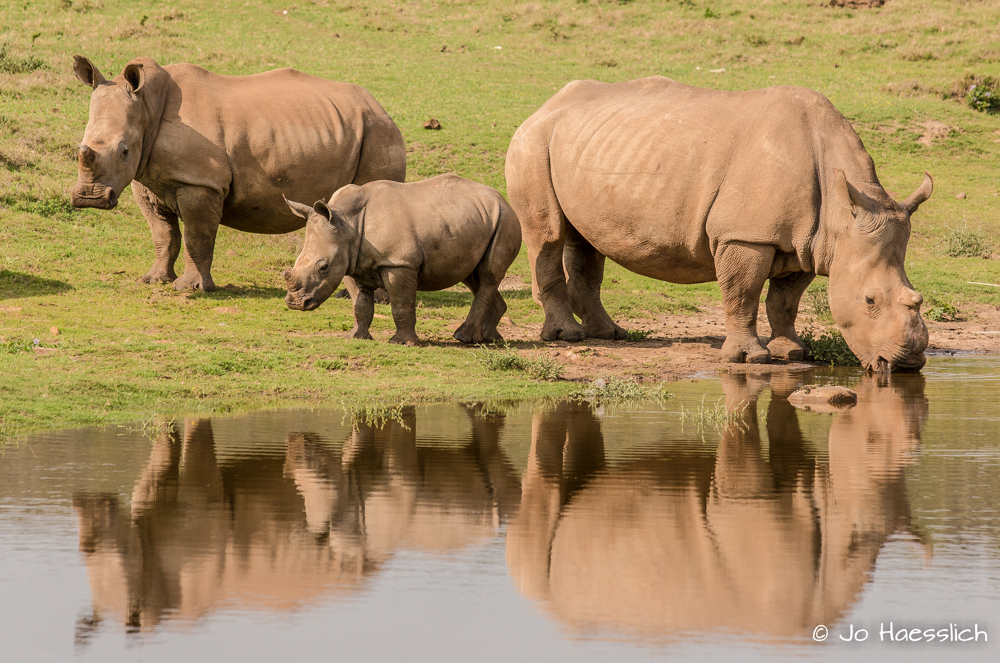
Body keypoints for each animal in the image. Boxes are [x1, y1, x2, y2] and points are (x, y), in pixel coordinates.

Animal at [69, 57, 406, 294]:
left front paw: (190, 289)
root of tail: (380, 107)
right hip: (359, 129)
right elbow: (163, 235)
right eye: (80, 146)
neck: (148, 107)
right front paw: (153, 281)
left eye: (125, 151)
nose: (90, 198)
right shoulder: (147, 180)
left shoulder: (201, 182)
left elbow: (197, 236)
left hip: (377, 133)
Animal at [280, 171, 520, 348]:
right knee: (472, 276)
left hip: (505, 219)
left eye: (323, 267)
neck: (347, 221)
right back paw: (490, 338)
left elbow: (401, 303)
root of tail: (503, 199)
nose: (295, 304)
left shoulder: (398, 262)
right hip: (477, 220)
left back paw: (464, 338)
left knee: (488, 275)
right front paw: (356, 337)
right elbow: (361, 304)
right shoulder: (355, 261)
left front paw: (402, 343)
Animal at [508, 78, 936, 374]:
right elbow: (742, 294)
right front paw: (749, 360)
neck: (840, 216)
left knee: (586, 242)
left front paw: (792, 352)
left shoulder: (808, 243)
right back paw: (568, 336)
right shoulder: (745, 237)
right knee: (547, 236)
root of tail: (546, 105)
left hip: (585, 144)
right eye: (869, 301)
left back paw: (610, 335)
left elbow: (785, 301)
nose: (908, 363)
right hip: (533, 142)